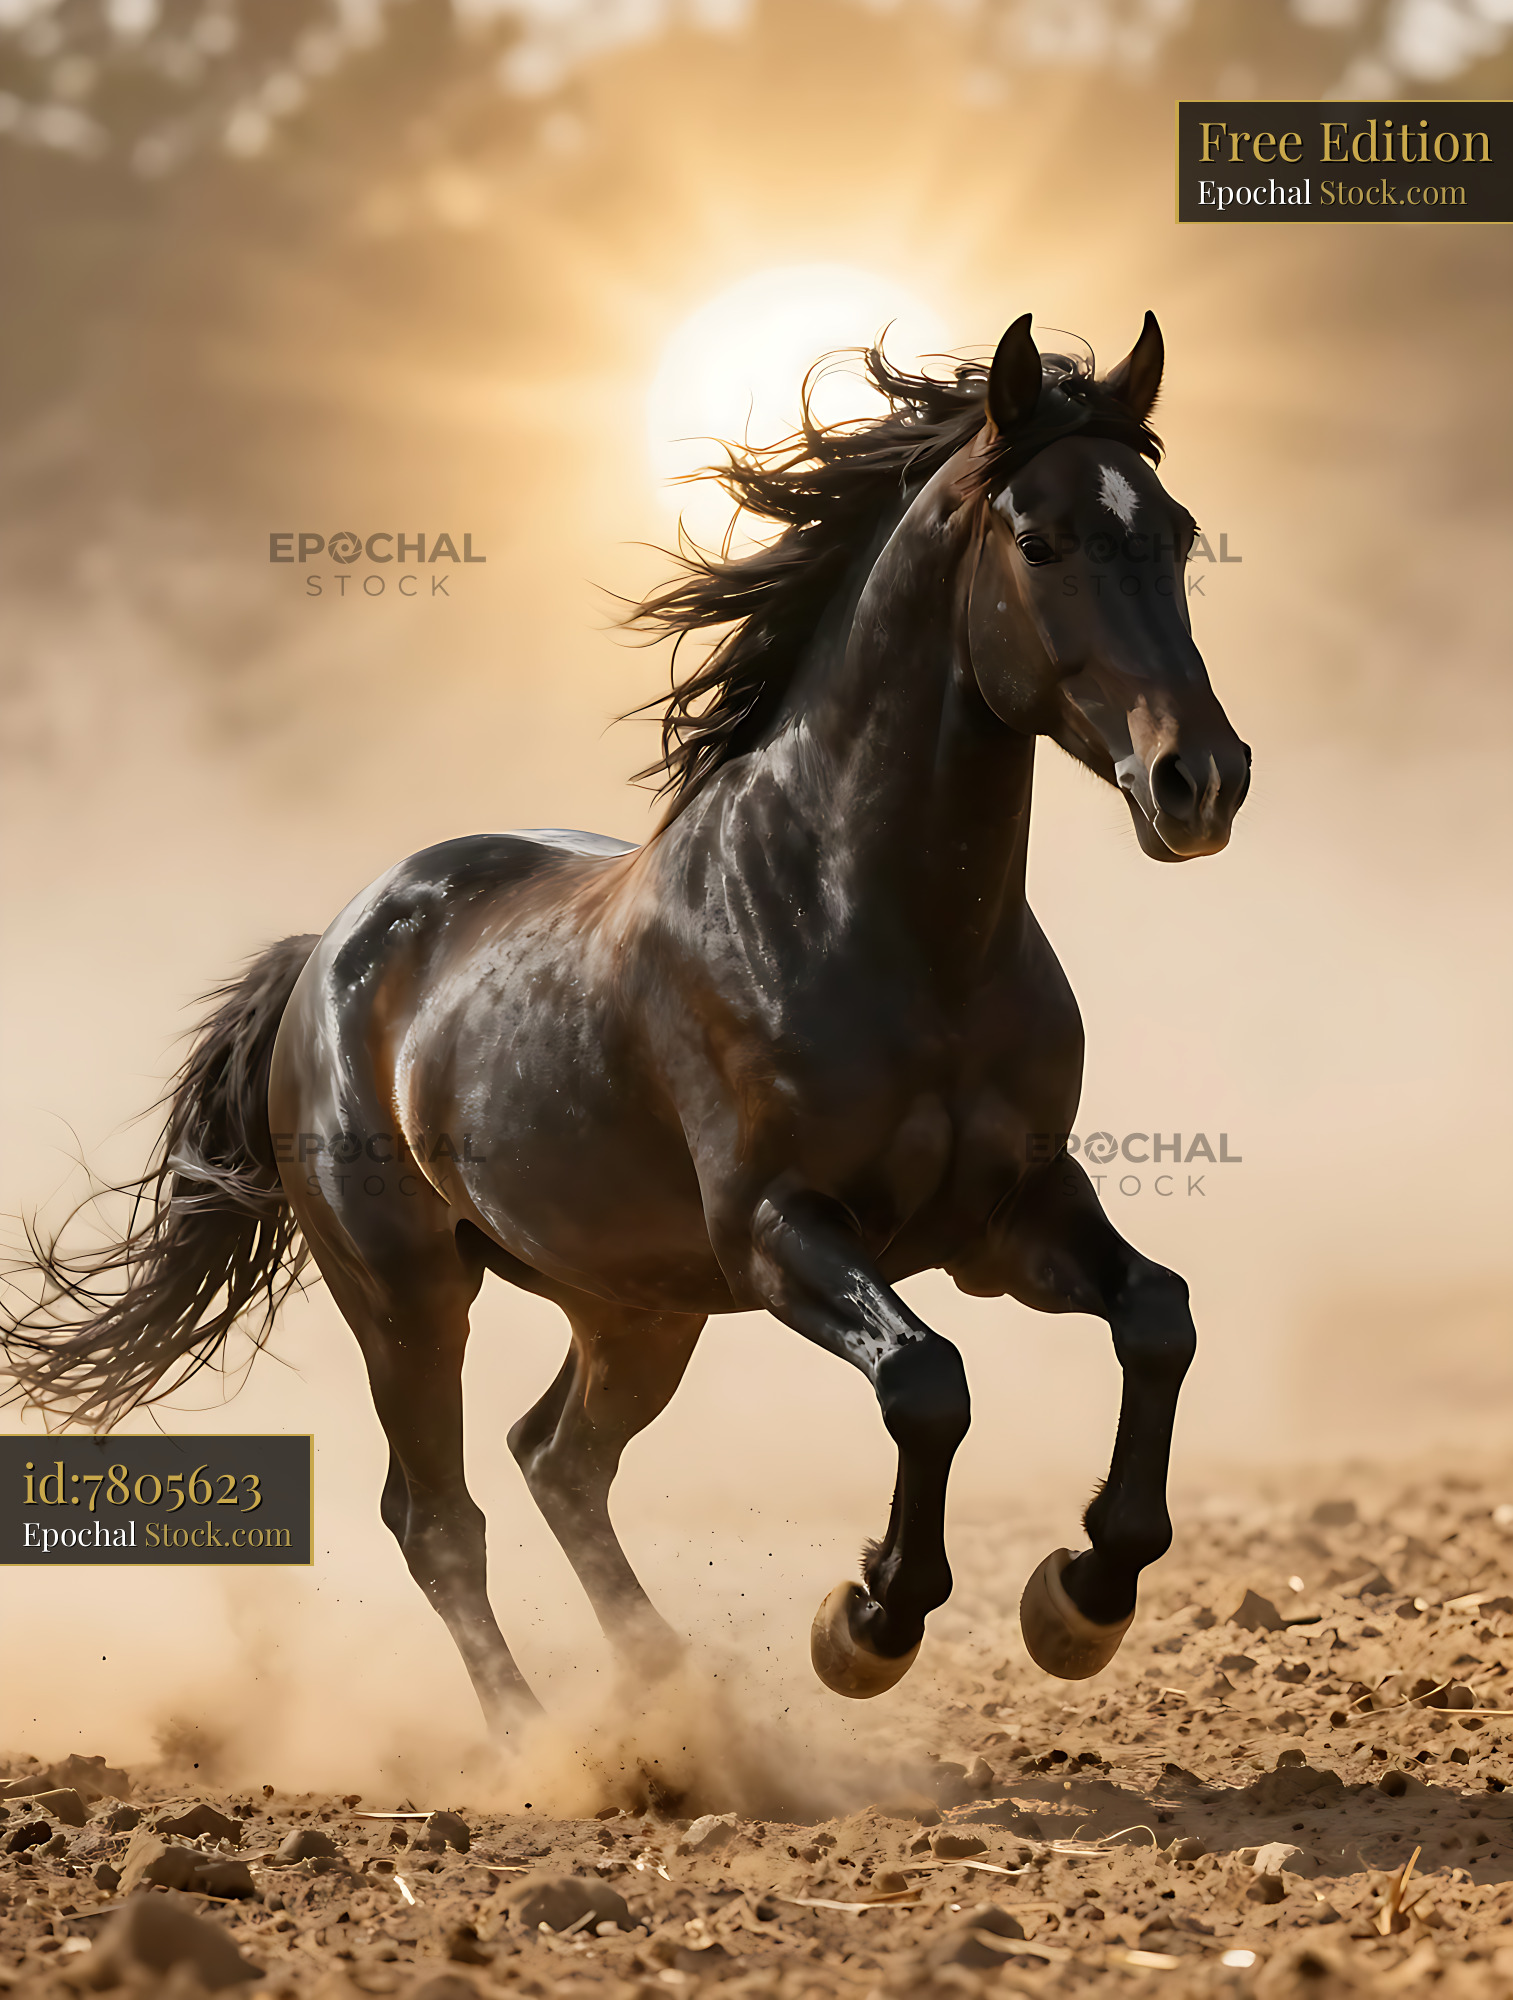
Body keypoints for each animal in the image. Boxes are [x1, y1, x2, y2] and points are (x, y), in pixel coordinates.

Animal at [3, 313, 1250, 1734]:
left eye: (1177, 531)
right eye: (1039, 542)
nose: (1200, 780)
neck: (890, 935)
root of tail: (328, 951)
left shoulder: (1013, 1214)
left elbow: (1157, 1315)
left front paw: (1079, 1598)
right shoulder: (777, 1231)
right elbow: (927, 1380)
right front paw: (866, 1624)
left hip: (635, 1305)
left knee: (556, 1459)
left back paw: (674, 1697)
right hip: (410, 1294)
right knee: (439, 1514)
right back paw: (543, 1741)